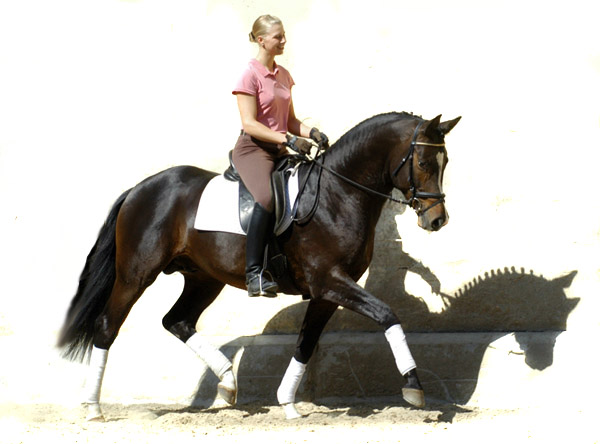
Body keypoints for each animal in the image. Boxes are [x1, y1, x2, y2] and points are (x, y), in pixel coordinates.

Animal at [57, 110, 460, 420]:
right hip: (136, 274)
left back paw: (227, 381)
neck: (338, 195)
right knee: (108, 326)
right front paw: (413, 386)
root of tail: (139, 189)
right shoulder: (330, 281)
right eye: (424, 162)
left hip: (204, 278)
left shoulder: (326, 292)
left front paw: (288, 404)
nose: (437, 220)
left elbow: (306, 343)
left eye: (445, 163)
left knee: (177, 320)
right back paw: (93, 408)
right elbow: (388, 314)